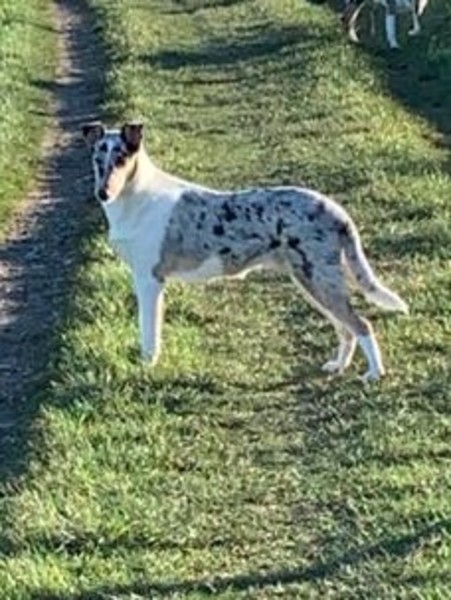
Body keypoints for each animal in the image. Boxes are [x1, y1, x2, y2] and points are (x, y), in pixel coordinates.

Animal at [82, 121, 410, 382]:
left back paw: (375, 373)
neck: (136, 198)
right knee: (346, 329)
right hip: (313, 281)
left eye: (121, 159)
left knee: (361, 325)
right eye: (98, 160)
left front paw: (147, 366)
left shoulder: (149, 280)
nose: (103, 193)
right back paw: (338, 366)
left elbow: (148, 333)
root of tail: (336, 210)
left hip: (319, 279)